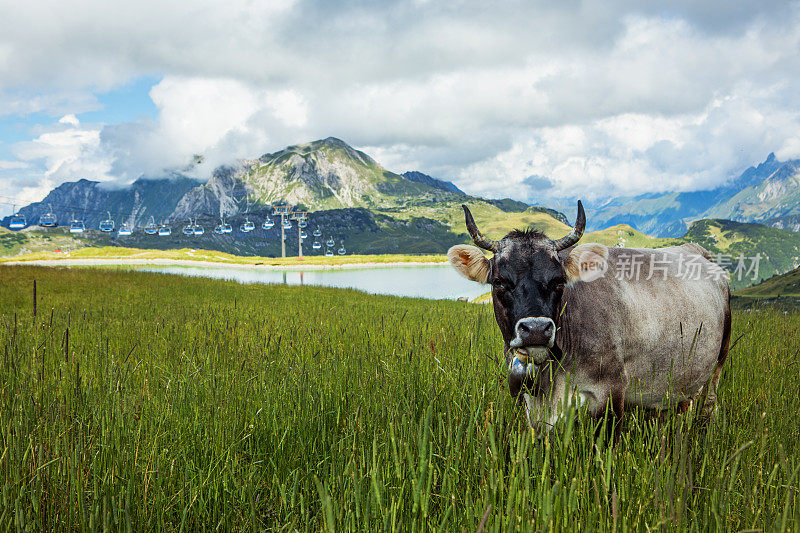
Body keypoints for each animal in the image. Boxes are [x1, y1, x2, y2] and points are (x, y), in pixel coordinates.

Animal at [450, 202, 732, 434]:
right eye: (499, 281)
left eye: (559, 280)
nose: (537, 329)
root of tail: (695, 249)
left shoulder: (612, 392)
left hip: (719, 361)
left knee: (709, 405)